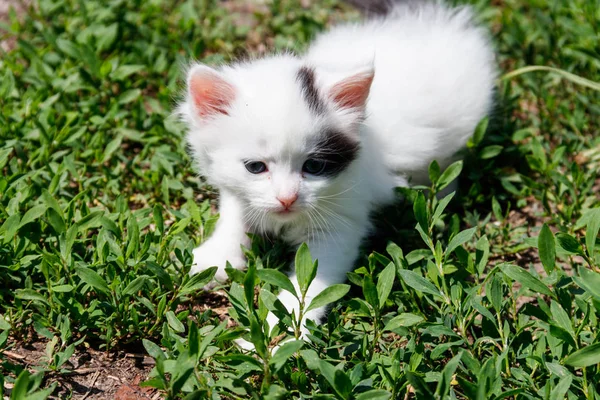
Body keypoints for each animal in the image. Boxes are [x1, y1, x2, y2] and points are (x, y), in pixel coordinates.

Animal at [178, 0, 496, 340]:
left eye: (314, 166)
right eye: (255, 167)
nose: (287, 199)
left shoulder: (341, 222)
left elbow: (307, 286)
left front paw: (279, 334)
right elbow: (235, 213)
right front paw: (213, 258)